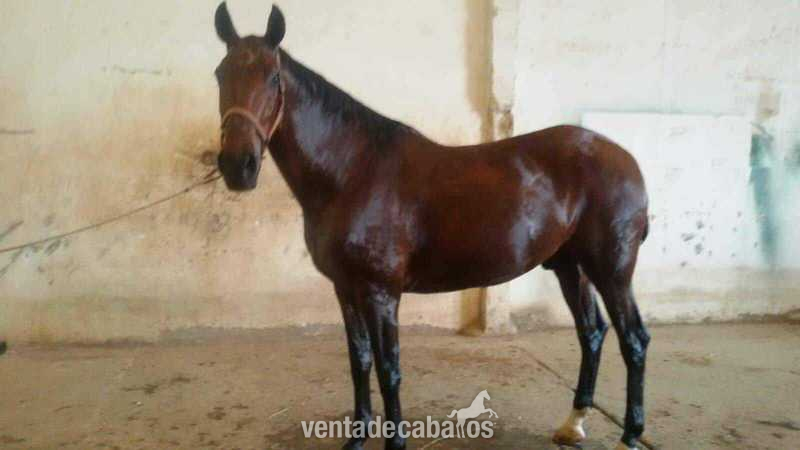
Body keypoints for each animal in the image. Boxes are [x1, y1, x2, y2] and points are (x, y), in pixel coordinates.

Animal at [212, 4, 650, 450]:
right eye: (220, 74)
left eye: (273, 77)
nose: (237, 166)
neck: (352, 172)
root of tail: (623, 158)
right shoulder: (345, 288)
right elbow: (359, 361)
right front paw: (356, 438)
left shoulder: (380, 293)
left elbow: (388, 370)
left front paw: (395, 442)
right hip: (570, 266)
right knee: (591, 332)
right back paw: (573, 423)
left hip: (612, 271)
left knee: (633, 339)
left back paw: (630, 435)